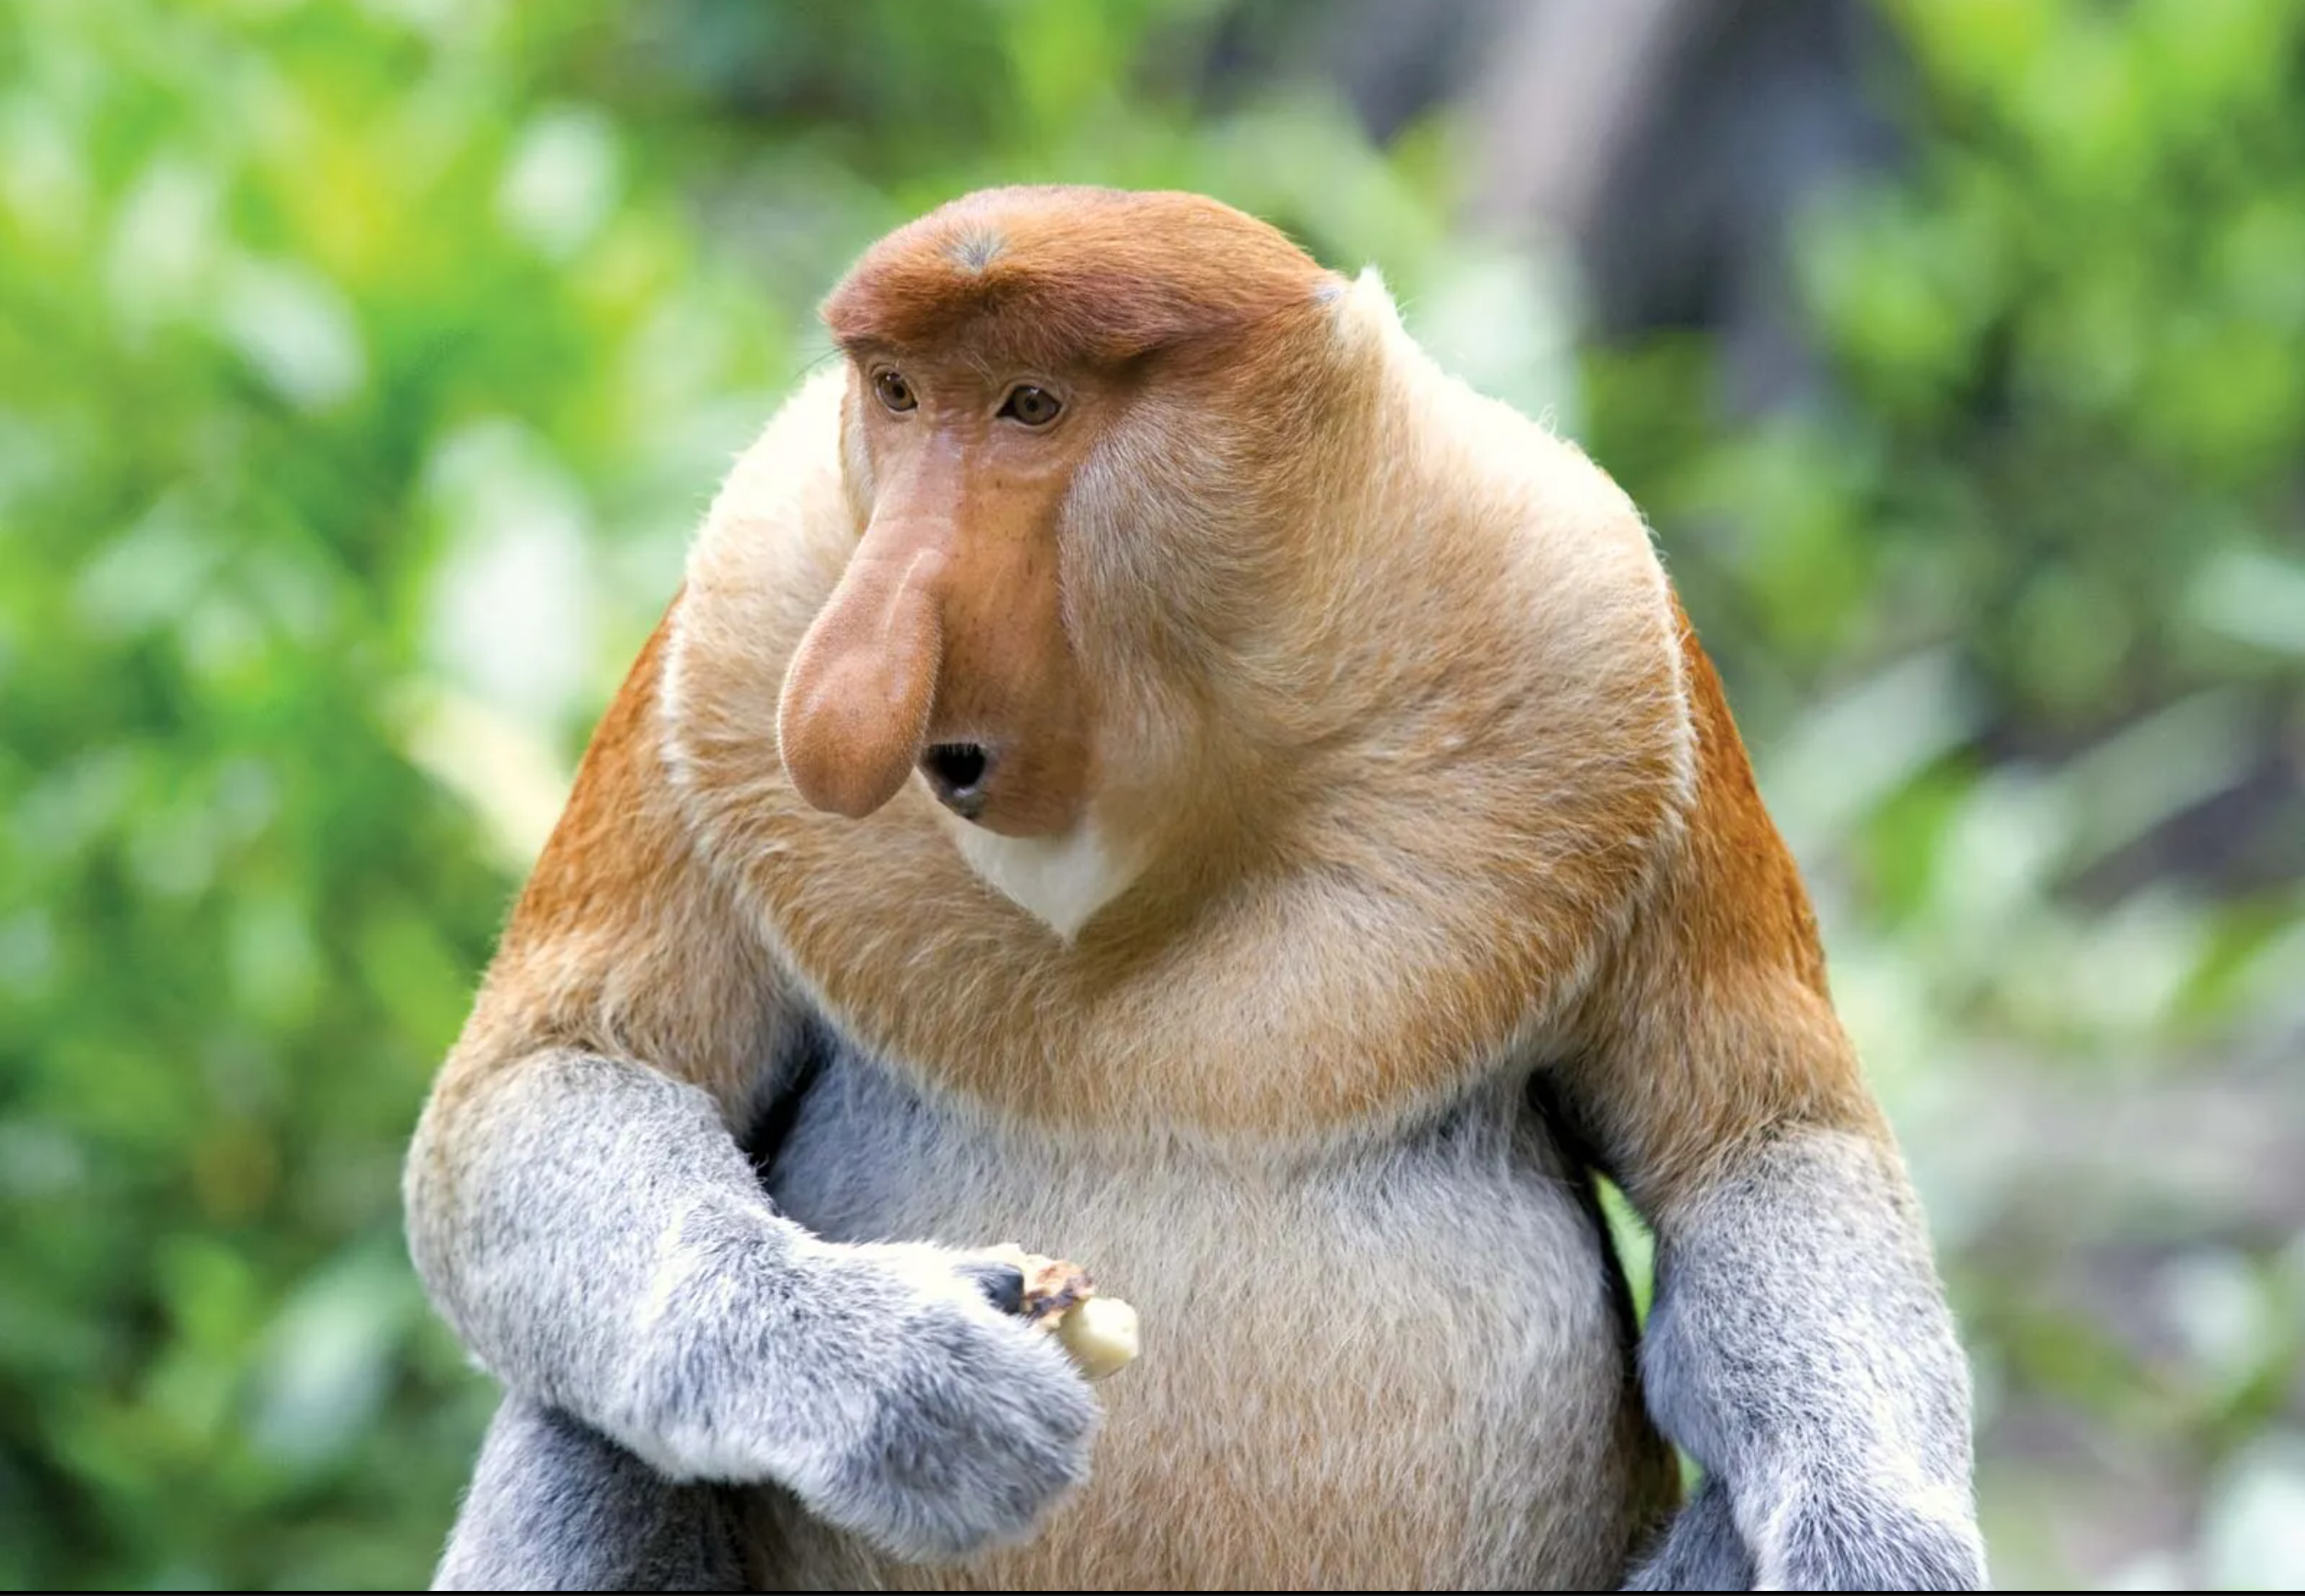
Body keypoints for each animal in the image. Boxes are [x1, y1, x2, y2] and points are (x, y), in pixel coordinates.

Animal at [404, 185, 1986, 1592]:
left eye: (1030, 406)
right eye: (899, 396)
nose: (843, 692)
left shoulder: (1598, 623)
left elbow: (1759, 1147)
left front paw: (1875, 1548)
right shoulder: (739, 617)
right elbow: (547, 1084)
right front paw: (906, 1378)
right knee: (586, 1421)